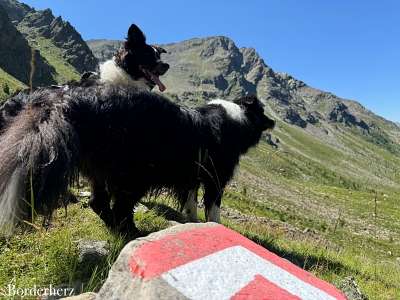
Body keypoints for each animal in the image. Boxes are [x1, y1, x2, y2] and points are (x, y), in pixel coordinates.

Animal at [0, 24, 276, 234]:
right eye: (263, 112)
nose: (273, 123)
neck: (237, 116)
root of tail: (67, 102)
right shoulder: (215, 178)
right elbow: (214, 210)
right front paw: (214, 229)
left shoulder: (192, 176)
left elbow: (190, 204)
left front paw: (192, 223)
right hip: (135, 172)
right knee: (119, 207)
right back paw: (131, 233)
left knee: (98, 202)